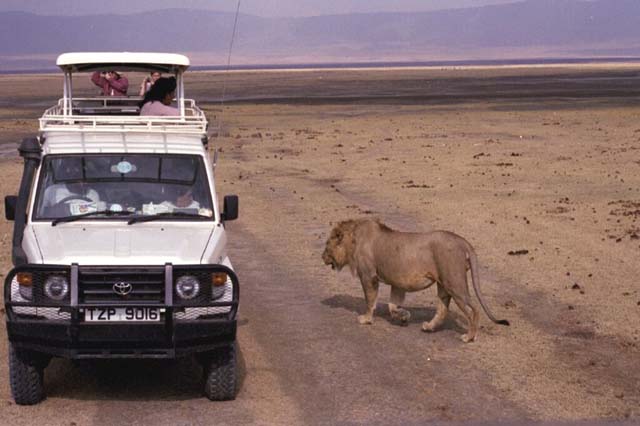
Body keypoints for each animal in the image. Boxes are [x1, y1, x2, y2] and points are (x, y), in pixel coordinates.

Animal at [322, 220, 508, 342]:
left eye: (326, 244)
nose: (322, 256)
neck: (354, 240)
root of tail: (463, 241)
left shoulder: (368, 276)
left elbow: (370, 300)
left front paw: (366, 319)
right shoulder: (397, 283)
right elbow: (392, 305)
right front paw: (404, 316)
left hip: (454, 283)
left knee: (474, 310)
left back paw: (469, 336)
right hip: (443, 285)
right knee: (443, 309)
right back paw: (429, 327)